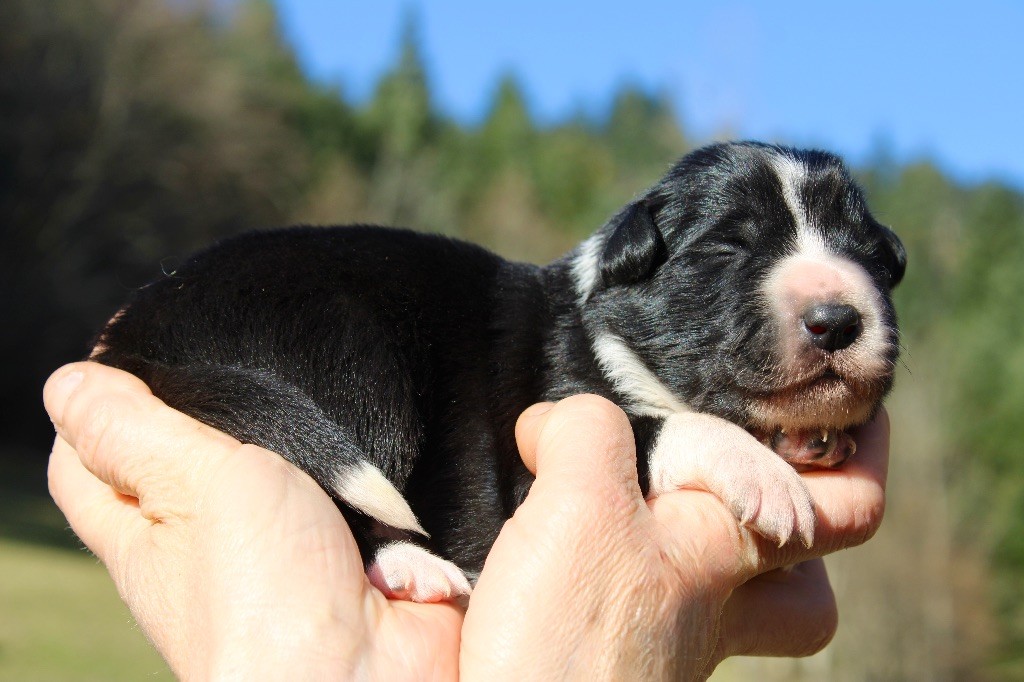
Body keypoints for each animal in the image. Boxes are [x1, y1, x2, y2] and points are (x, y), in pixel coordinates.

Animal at [88, 140, 905, 598]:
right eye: (730, 246)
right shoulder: (544, 433)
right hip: (354, 363)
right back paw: (412, 567)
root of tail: (146, 328)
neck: (607, 331)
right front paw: (765, 475)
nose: (837, 319)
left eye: (869, 252)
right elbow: (657, 428)